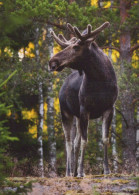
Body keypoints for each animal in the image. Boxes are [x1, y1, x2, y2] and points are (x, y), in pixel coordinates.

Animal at [48, 22, 117, 177]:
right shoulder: (85, 109)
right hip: (66, 112)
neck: (100, 80)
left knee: (75, 142)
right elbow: (85, 141)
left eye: (76, 47)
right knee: (68, 141)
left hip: (78, 116)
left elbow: (105, 139)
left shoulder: (109, 108)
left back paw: (73, 171)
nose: (52, 62)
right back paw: (69, 172)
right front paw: (81, 171)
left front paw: (107, 169)